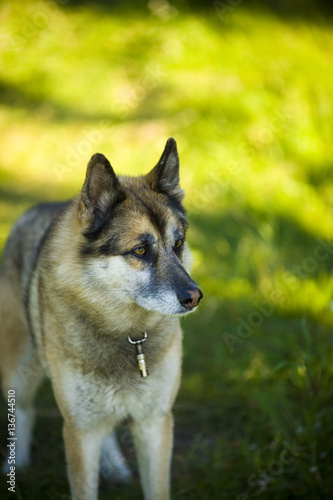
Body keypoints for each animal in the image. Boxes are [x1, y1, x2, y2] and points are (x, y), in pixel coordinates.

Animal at [0, 138, 202, 500]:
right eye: (140, 250)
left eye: (178, 244)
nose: (194, 297)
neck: (128, 335)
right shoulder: (79, 430)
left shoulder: (154, 424)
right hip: (18, 370)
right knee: (22, 411)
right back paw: (15, 466)